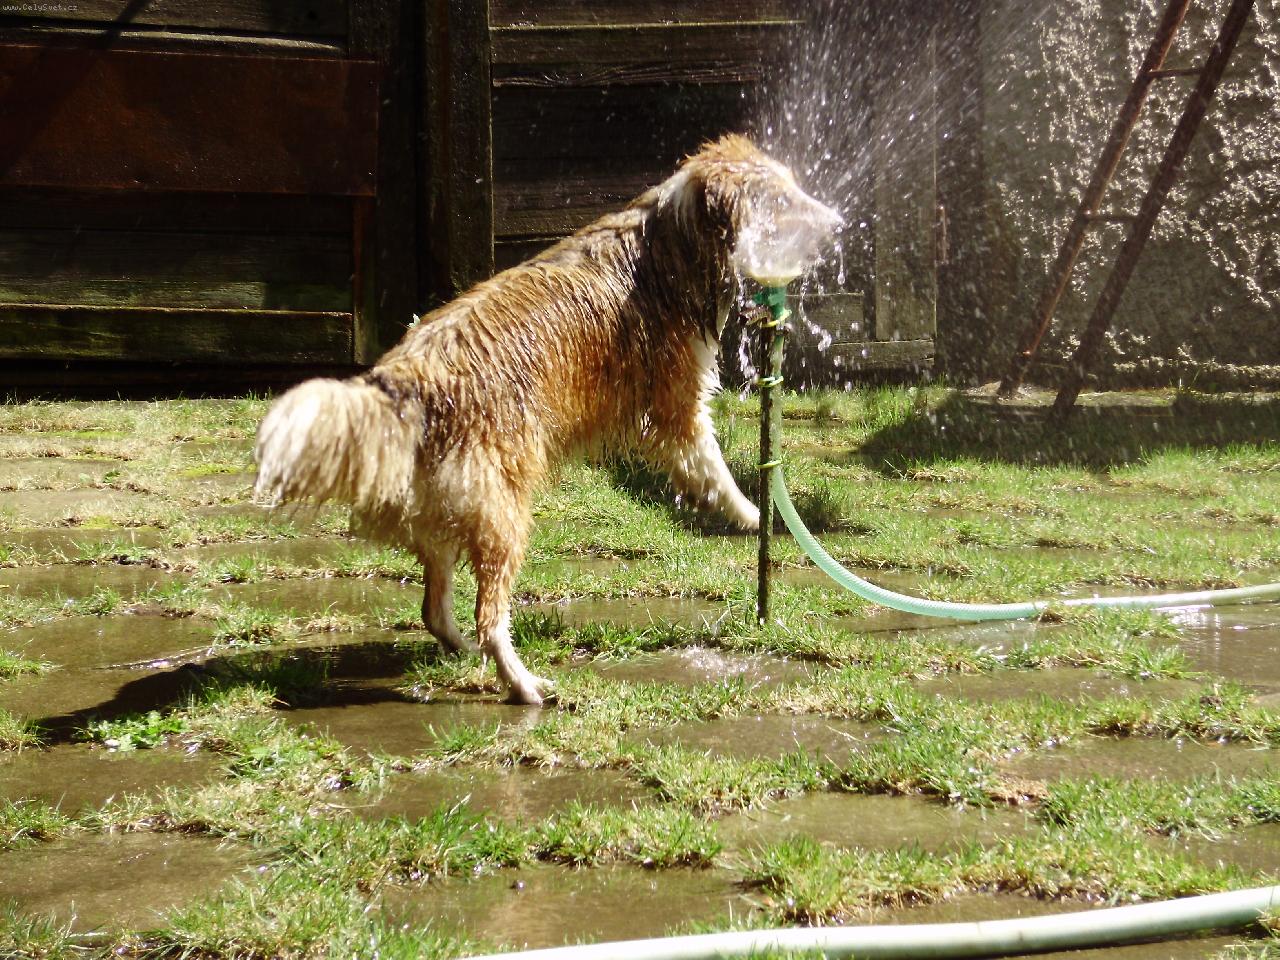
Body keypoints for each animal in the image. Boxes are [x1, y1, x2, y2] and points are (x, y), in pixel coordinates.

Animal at [254, 134, 840, 705]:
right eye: (781, 201)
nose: (837, 223)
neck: (672, 238)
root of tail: (407, 383)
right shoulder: (677, 402)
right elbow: (711, 464)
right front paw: (756, 513)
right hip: (502, 513)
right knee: (488, 616)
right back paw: (524, 684)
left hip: (444, 511)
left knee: (435, 607)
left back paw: (461, 652)